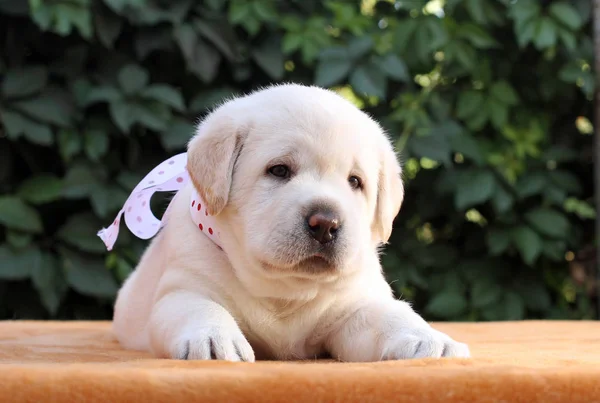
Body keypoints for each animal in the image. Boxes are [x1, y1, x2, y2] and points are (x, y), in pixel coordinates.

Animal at [110, 83, 472, 362]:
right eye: (279, 170)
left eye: (355, 181)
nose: (326, 223)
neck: (286, 291)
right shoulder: (183, 287)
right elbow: (198, 308)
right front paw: (213, 340)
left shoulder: (355, 305)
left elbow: (389, 315)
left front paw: (430, 340)